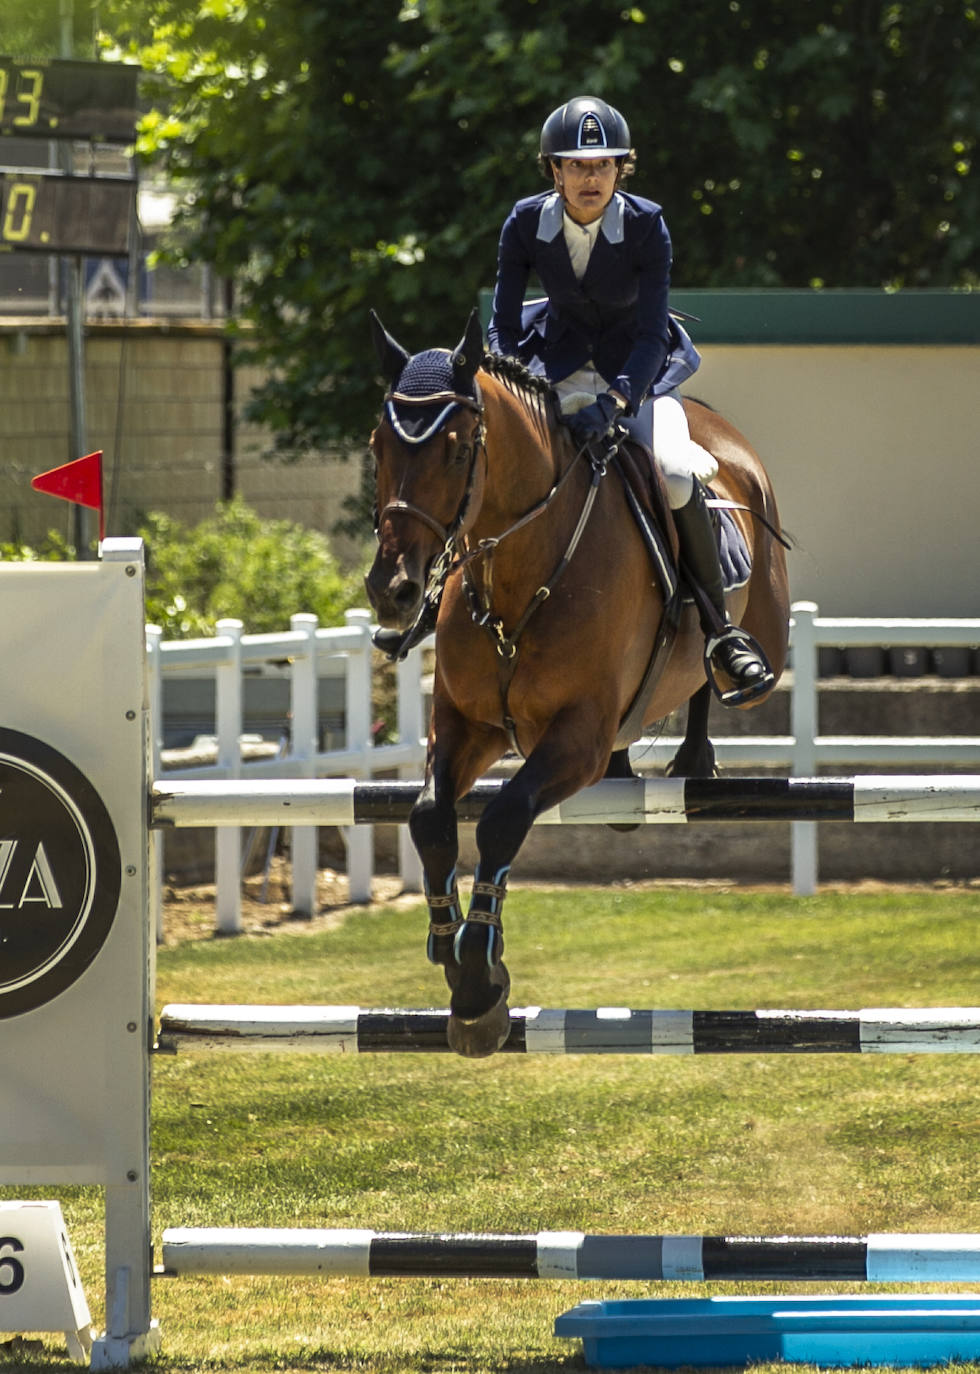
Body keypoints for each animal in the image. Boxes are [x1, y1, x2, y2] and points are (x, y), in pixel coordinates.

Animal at [368, 311, 786, 1055]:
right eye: (376, 446)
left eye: (456, 450)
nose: (393, 591)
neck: (517, 579)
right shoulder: (466, 725)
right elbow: (430, 818)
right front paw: (451, 950)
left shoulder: (576, 738)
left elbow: (503, 818)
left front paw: (479, 980)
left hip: (766, 621)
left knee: (713, 663)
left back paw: (709, 720)